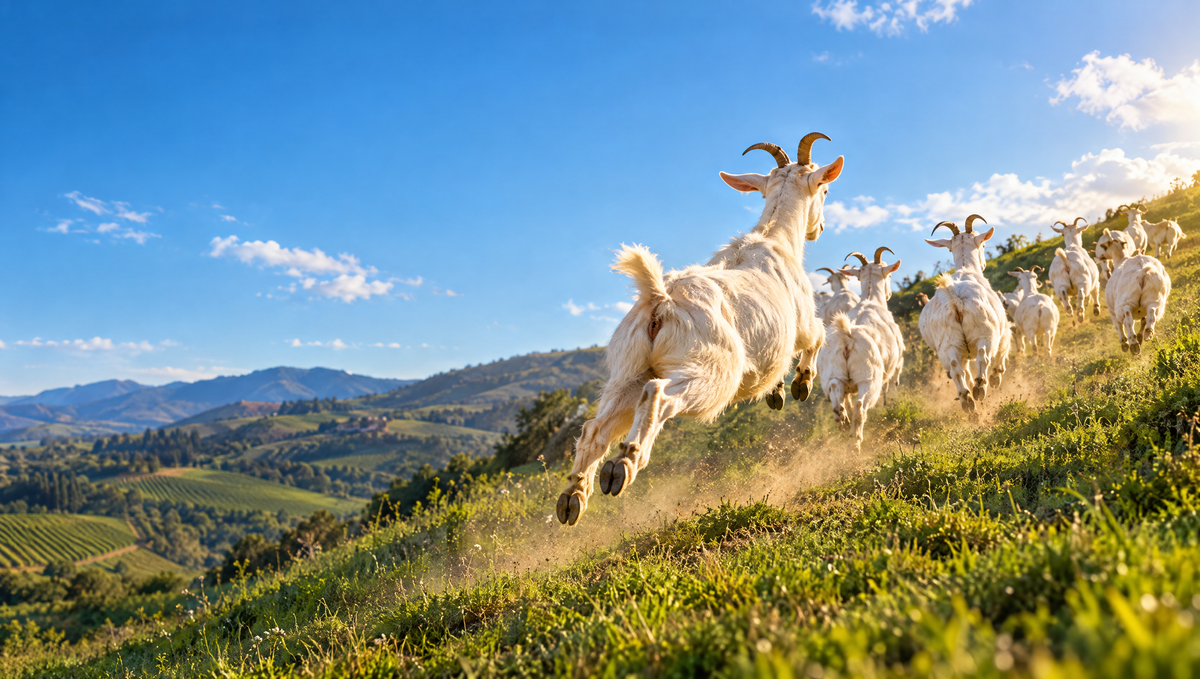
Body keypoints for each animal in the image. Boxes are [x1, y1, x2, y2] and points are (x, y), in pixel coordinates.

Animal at [556, 134, 844, 526]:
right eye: (825, 189)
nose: (820, 229)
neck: (776, 240)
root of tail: (660, 300)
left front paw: (776, 390)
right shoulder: (800, 321)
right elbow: (817, 336)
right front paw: (800, 383)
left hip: (627, 371)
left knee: (595, 427)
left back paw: (574, 497)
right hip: (710, 370)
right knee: (658, 395)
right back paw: (624, 464)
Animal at [918, 215, 1010, 414]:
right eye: (983, 245)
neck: (966, 269)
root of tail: (955, 299)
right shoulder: (1003, 330)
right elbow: (1003, 350)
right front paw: (996, 378)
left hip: (948, 344)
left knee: (956, 369)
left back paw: (967, 399)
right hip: (985, 332)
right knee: (983, 356)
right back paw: (980, 387)